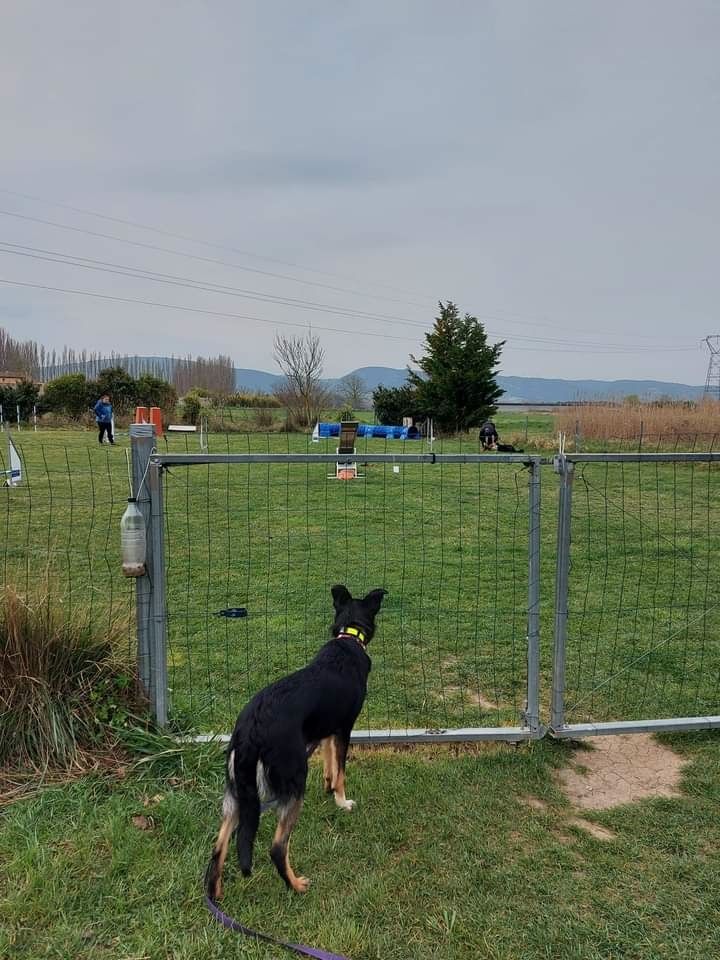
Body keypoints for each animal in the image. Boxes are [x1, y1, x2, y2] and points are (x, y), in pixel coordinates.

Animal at [205, 584, 386, 900]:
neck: (349, 637)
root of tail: (250, 728)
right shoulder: (345, 728)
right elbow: (341, 770)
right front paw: (342, 801)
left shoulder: (325, 729)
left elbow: (329, 762)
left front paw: (327, 787)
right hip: (294, 778)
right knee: (277, 847)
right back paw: (296, 886)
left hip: (238, 791)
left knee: (219, 847)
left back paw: (216, 894)